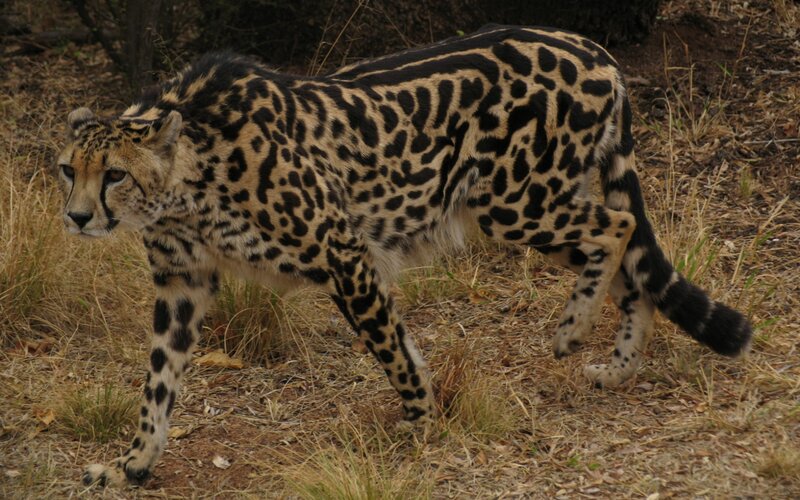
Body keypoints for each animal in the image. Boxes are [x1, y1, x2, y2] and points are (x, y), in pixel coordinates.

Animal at [56, 25, 752, 488]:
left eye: (114, 174)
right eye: (68, 170)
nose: (78, 217)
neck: (187, 177)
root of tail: (588, 46)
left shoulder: (343, 252)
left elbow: (392, 348)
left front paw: (420, 420)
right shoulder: (183, 281)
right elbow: (158, 381)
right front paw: (133, 463)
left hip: (514, 200)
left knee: (618, 225)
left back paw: (574, 327)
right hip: (532, 198)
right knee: (631, 261)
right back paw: (620, 366)